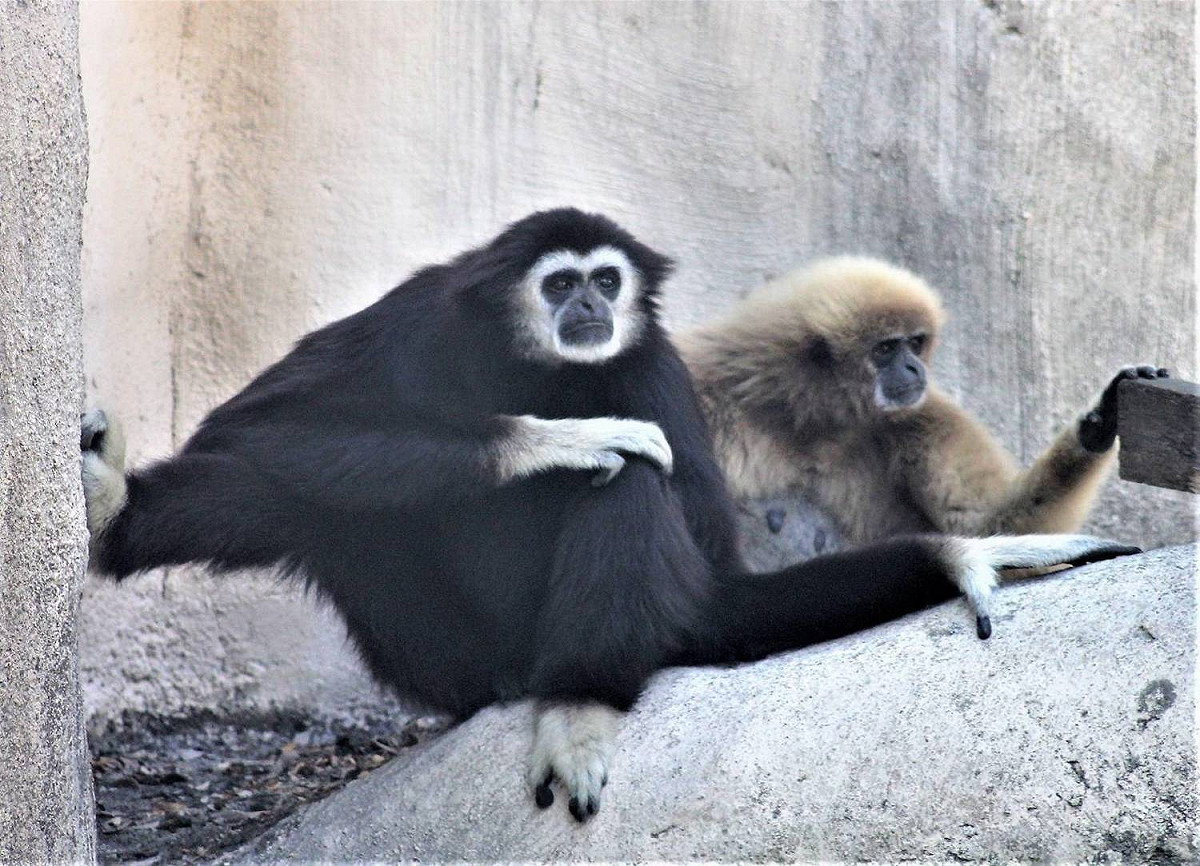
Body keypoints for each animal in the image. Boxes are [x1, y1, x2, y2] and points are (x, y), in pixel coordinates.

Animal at [678, 255, 1169, 553]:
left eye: (914, 343)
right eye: (885, 349)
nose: (914, 368)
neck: (811, 420)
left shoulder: (924, 415)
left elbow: (984, 525)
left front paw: (1100, 421)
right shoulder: (703, 385)